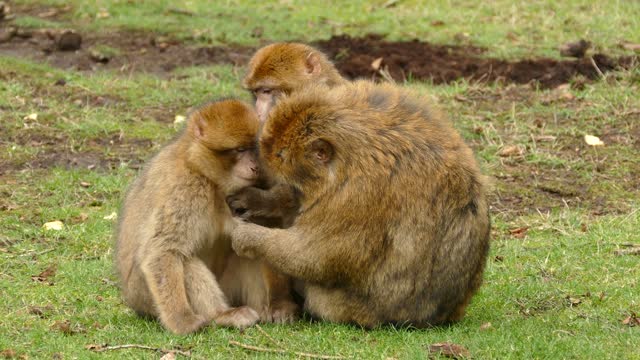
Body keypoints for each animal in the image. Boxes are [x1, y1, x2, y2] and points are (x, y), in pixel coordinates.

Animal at [114, 99, 298, 334]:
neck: (211, 179)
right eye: (240, 149)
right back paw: (222, 315)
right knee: (185, 260)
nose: (256, 166)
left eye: (254, 148)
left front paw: (281, 303)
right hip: (145, 297)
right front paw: (182, 321)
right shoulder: (185, 188)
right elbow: (162, 251)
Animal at [230, 81, 490, 330]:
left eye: (281, 156)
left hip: (357, 309)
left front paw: (248, 237)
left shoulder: (357, 195)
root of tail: (444, 315)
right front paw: (261, 199)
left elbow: (315, 256)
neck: (348, 157)